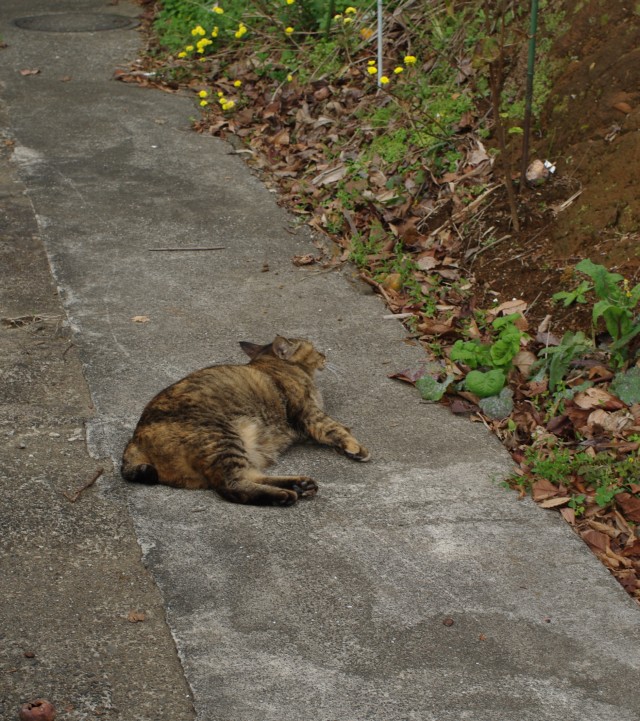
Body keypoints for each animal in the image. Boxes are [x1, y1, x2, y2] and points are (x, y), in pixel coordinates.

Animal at [121, 335, 370, 505]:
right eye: (315, 350)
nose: (325, 355)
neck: (276, 365)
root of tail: (134, 442)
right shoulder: (308, 413)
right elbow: (334, 427)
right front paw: (356, 448)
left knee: (251, 476)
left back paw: (299, 484)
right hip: (222, 439)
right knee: (231, 486)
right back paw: (285, 494)